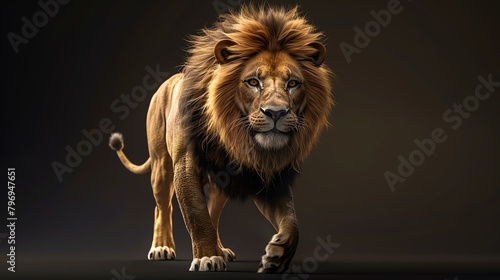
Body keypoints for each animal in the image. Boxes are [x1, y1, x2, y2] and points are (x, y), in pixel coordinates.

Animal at [108, 3, 334, 272]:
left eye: (292, 83)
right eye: (253, 82)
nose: (275, 112)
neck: (232, 135)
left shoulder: (263, 175)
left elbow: (292, 222)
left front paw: (277, 256)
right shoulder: (185, 166)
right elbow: (196, 215)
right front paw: (206, 258)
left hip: (220, 186)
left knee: (213, 212)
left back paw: (221, 249)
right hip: (162, 165)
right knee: (162, 206)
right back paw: (162, 247)